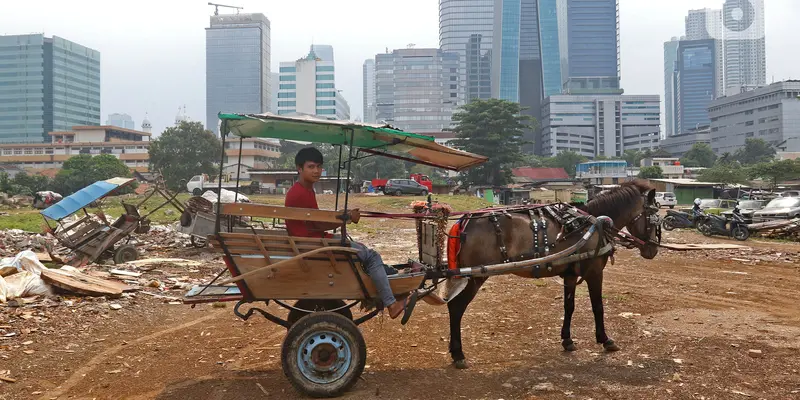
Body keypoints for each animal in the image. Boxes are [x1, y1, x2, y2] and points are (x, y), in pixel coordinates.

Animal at [446, 180, 660, 368]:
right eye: (654, 218)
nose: (653, 250)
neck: (593, 223)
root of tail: (465, 222)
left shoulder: (571, 275)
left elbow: (569, 307)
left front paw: (567, 340)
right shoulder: (594, 272)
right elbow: (598, 307)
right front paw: (605, 340)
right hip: (475, 277)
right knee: (456, 308)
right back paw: (458, 353)